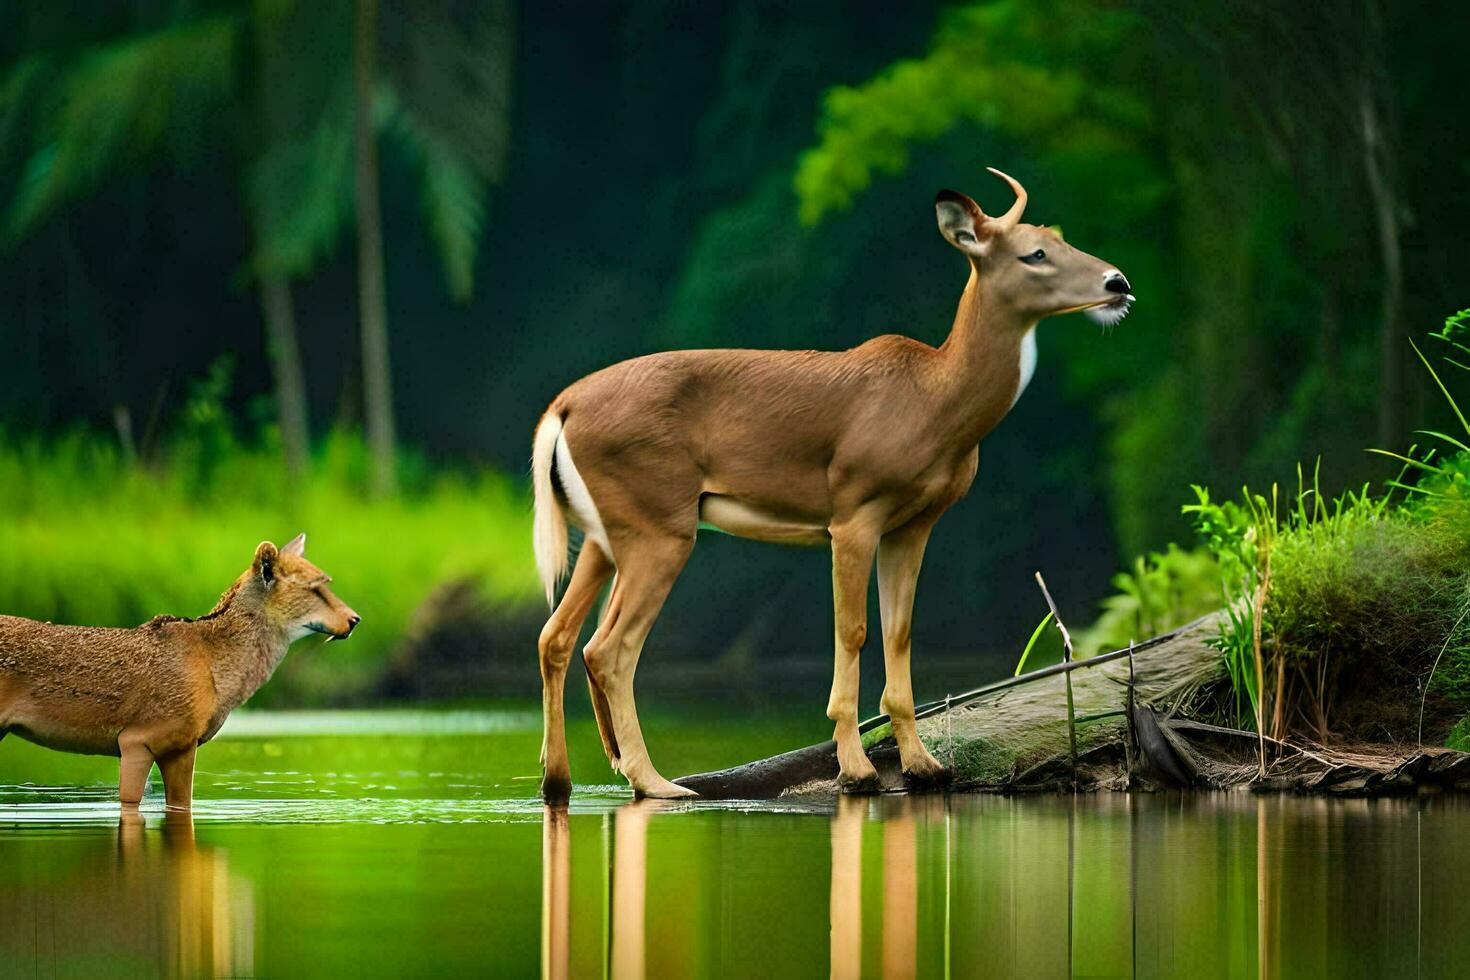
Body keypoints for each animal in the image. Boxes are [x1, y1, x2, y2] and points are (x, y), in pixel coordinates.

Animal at [535, 168, 1128, 799]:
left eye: (1061, 239)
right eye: (1033, 254)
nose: (1118, 281)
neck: (937, 403)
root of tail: (561, 408)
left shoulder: (914, 523)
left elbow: (900, 633)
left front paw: (924, 765)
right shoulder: (854, 509)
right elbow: (854, 630)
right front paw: (856, 768)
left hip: (606, 533)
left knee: (558, 637)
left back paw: (560, 779)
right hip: (659, 523)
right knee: (610, 647)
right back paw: (656, 782)